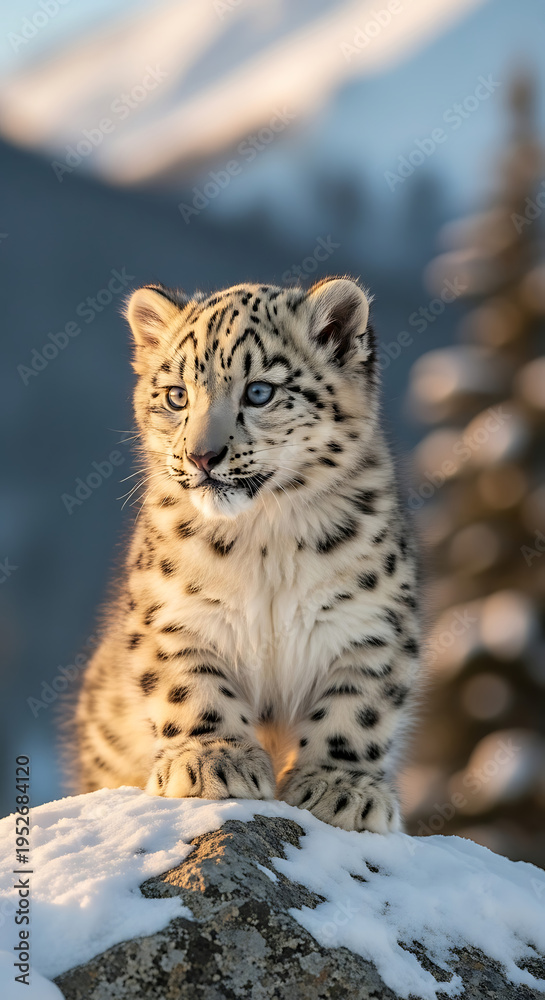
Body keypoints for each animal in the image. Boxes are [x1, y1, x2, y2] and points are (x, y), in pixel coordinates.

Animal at [73, 276, 420, 833]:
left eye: (260, 391)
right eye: (176, 396)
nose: (201, 455)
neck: (264, 540)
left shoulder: (369, 621)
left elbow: (357, 706)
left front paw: (341, 788)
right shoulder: (173, 613)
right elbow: (190, 686)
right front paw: (213, 761)